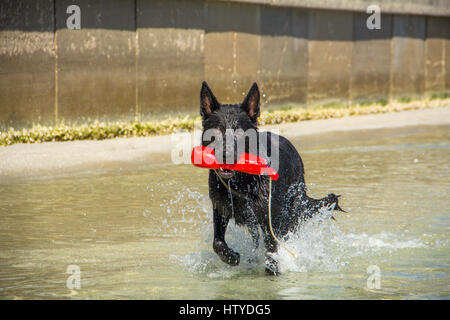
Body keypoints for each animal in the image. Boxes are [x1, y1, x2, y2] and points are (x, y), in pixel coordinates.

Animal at [199, 81, 342, 274]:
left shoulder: (270, 220)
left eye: (239, 133)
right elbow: (217, 242)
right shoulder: (221, 208)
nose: (226, 154)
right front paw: (231, 257)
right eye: (216, 131)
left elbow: (272, 251)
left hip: (289, 212)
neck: (242, 182)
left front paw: (272, 271)